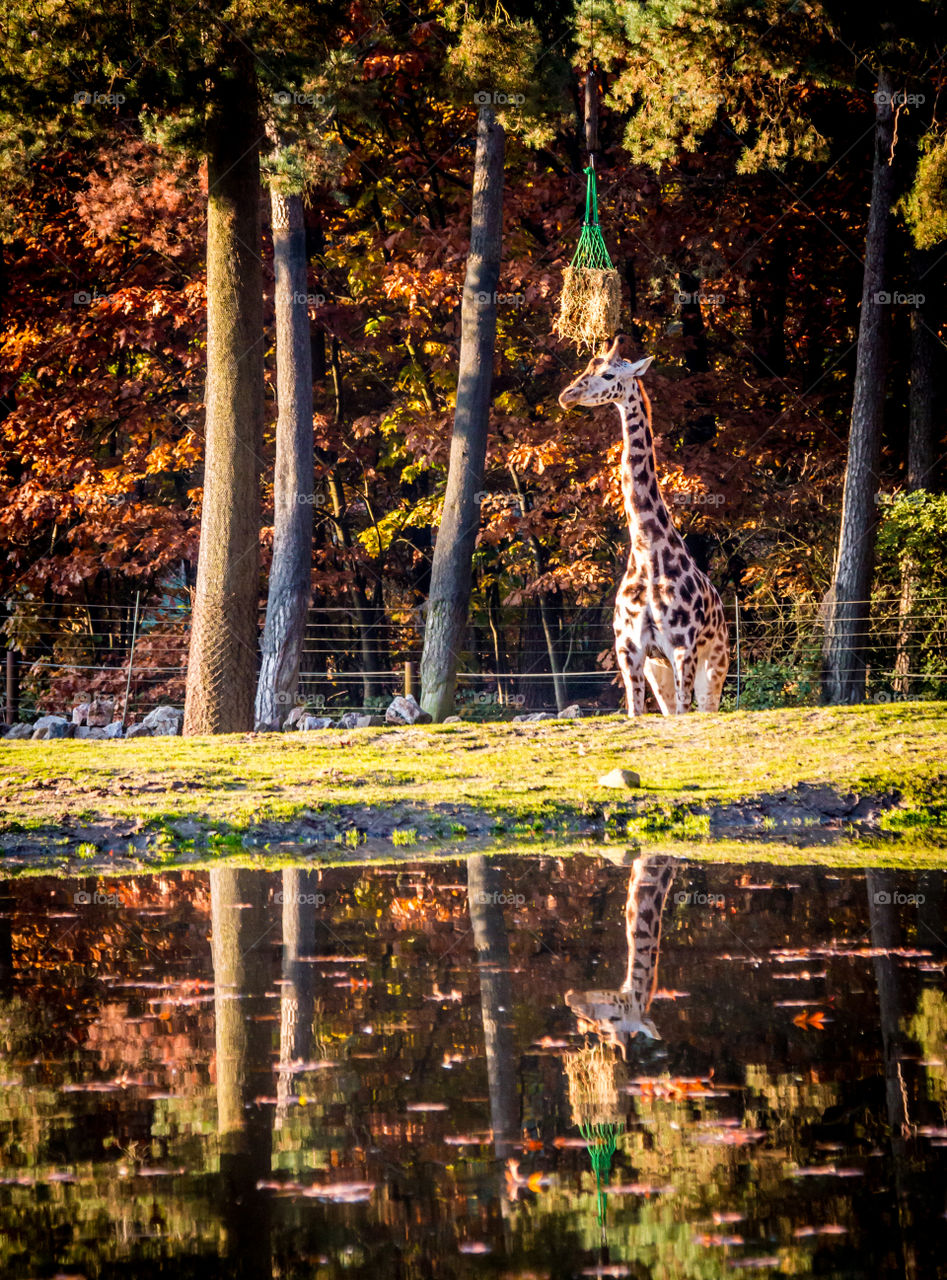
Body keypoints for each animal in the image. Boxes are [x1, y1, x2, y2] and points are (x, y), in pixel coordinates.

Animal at [558, 334, 729, 715]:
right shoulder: (631, 651)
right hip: (658, 669)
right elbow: (636, 712)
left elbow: (683, 713)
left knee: (706, 708)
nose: (567, 395)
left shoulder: (682, 649)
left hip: (715, 662)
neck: (647, 550)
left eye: (609, 375)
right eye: (587, 368)